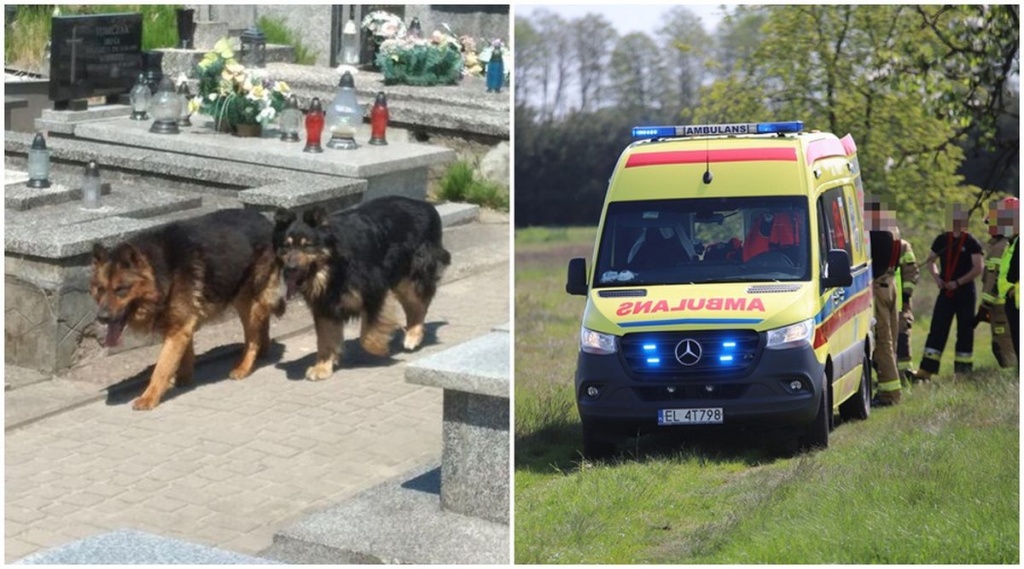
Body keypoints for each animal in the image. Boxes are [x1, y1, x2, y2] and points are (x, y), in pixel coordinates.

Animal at [90, 208, 284, 409]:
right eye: (100, 289)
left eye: (121, 290)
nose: (102, 317)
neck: (161, 271)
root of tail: (264, 219)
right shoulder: (181, 325)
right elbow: (183, 355)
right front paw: (183, 378)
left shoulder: (178, 329)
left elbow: (162, 366)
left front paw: (150, 397)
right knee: (263, 321)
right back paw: (263, 351)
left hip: (246, 301)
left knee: (252, 337)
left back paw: (243, 366)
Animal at [274, 196, 450, 382]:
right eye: (286, 246)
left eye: (307, 245)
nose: (290, 269)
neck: (333, 266)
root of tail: (426, 204)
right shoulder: (324, 305)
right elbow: (325, 338)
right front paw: (323, 366)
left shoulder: (375, 291)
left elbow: (367, 335)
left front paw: (380, 348)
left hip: (412, 272)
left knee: (419, 304)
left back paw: (413, 335)